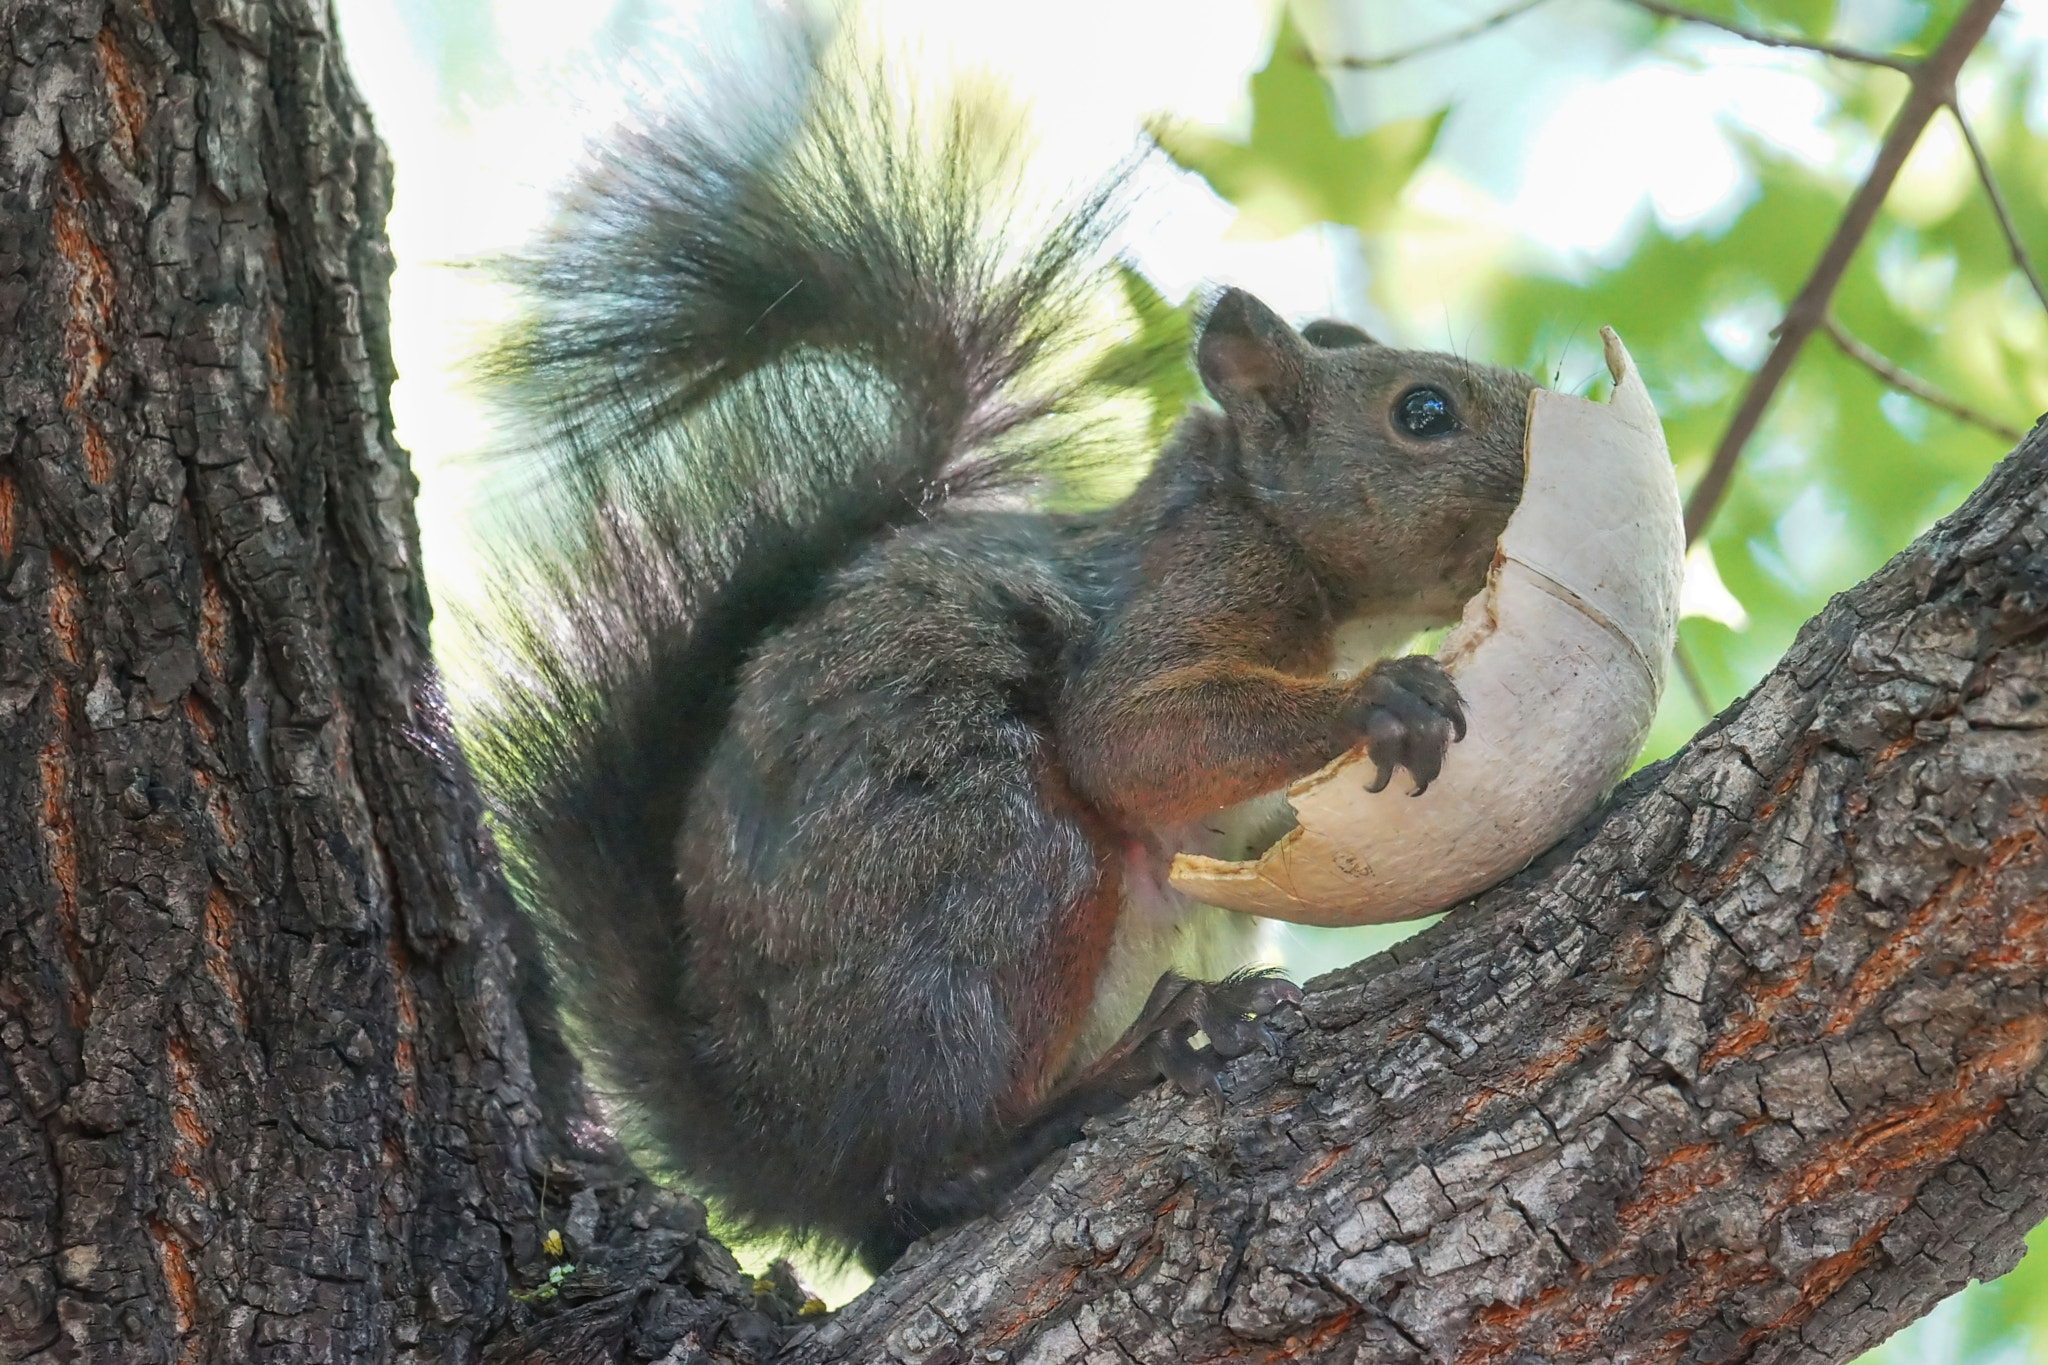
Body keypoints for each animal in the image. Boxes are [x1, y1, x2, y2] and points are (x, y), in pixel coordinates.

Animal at [471, 45, 1540, 1285]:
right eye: (1423, 410)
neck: (1271, 526)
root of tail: (788, 1154)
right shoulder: (1197, 577)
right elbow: (1129, 740)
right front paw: (1379, 700)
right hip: (1003, 874)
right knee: (922, 1174)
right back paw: (1111, 1077)